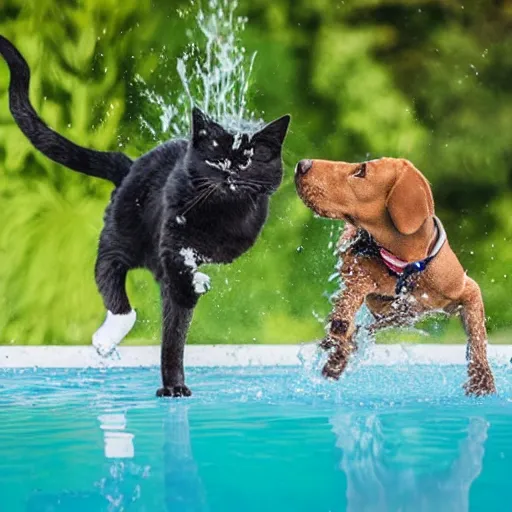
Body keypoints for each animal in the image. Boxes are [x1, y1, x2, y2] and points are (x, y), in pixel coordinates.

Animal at [0, 35, 290, 396]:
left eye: (248, 160)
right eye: (216, 157)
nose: (230, 173)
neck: (222, 215)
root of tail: (130, 165)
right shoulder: (171, 236)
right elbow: (174, 298)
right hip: (121, 233)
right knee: (109, 274)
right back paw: (107, 337)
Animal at [296, 156, 496, 396]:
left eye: (361, 170)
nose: (302, 164)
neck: (407, 266)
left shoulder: (466, 289)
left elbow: (477, 336)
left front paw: (481, 379)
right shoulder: (368, 285)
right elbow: (355, 293)